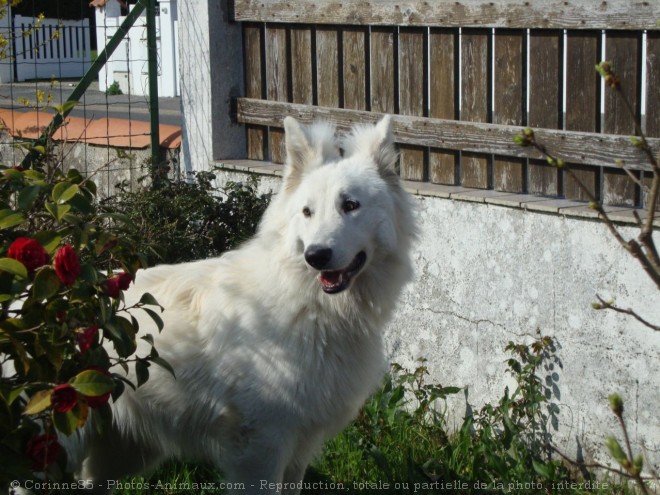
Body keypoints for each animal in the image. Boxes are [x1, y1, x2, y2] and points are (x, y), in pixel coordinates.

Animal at [68, 115, 418, 492]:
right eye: (307, 212)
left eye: (350, 205)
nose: (315, 256)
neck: (311, 307)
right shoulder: (261, 449)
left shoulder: (298, 451)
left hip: (122, 456)